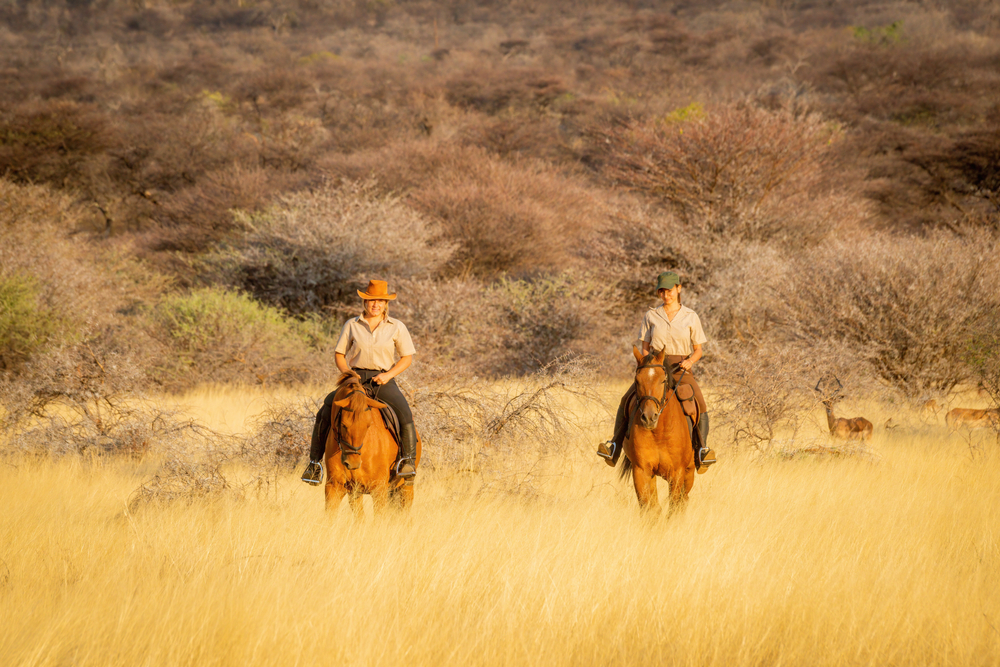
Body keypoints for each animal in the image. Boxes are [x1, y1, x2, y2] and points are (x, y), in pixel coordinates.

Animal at [324, 370, 422, 516]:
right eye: (343, 425)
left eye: (368, 425)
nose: (353, 463)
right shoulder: (335, 487)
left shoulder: (379, 490)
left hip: (406, 487)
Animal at [618, 347, 697, 514]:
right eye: (637, 381)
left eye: (663, 380)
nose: (649, 417)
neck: (659, 433)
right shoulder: (642, 471)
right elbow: (650, 508)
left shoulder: (677, 473)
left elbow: (673, 508)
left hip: (689, 472)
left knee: (683, 501)